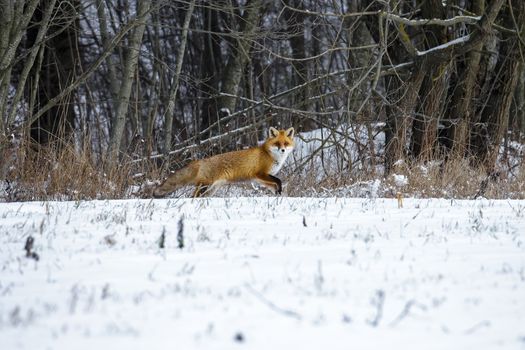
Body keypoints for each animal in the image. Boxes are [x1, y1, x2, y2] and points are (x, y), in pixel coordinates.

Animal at [151, 126, 294, 198]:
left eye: (286, 143)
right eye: (277, 143)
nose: (282, 150)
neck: (270, 155)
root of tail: (200, 161)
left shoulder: (259, 178)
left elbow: (274, 186)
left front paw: (279, 195)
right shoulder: (260, 173)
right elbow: (278, 181)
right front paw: (280, 193)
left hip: (211, 189)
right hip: (205, 186)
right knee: (193, 197)